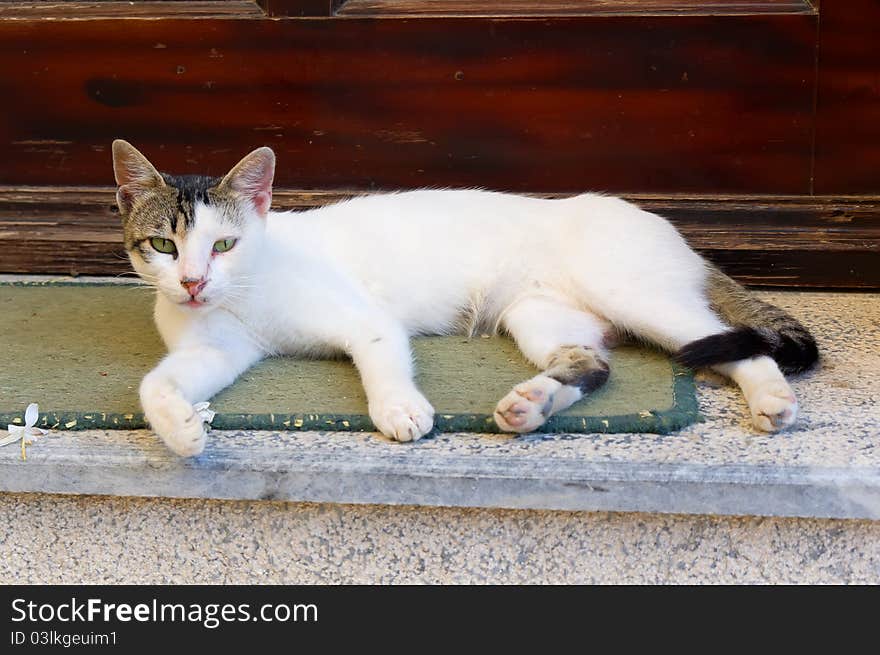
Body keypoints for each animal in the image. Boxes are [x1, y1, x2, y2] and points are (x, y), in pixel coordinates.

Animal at [111, 140, 820, 456]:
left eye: (223, 244)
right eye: (165, 246)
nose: (193, 283)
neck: (245, 294)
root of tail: (673, 231)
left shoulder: (366, 319)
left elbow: (381, 361)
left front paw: (399, 409)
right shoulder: (217, 349)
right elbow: (155, 383)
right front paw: (180, 429)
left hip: (634, 294)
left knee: (734, 344)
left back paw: (772, 399)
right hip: (537, 315)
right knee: (593, 362)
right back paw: (531, 404)